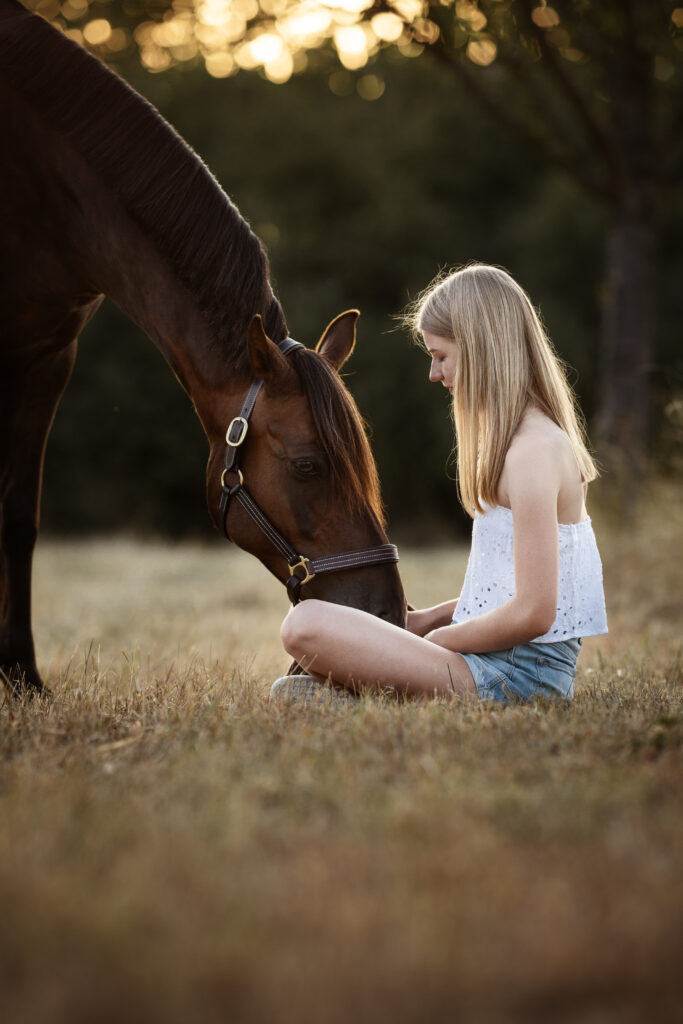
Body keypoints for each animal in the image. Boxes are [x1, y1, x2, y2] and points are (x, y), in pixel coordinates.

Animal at [0, 2, 405, 696]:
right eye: (307, 466)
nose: (384, 613)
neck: (42, 189)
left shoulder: (48, 356)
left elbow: (18, 517)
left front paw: (21, 675)